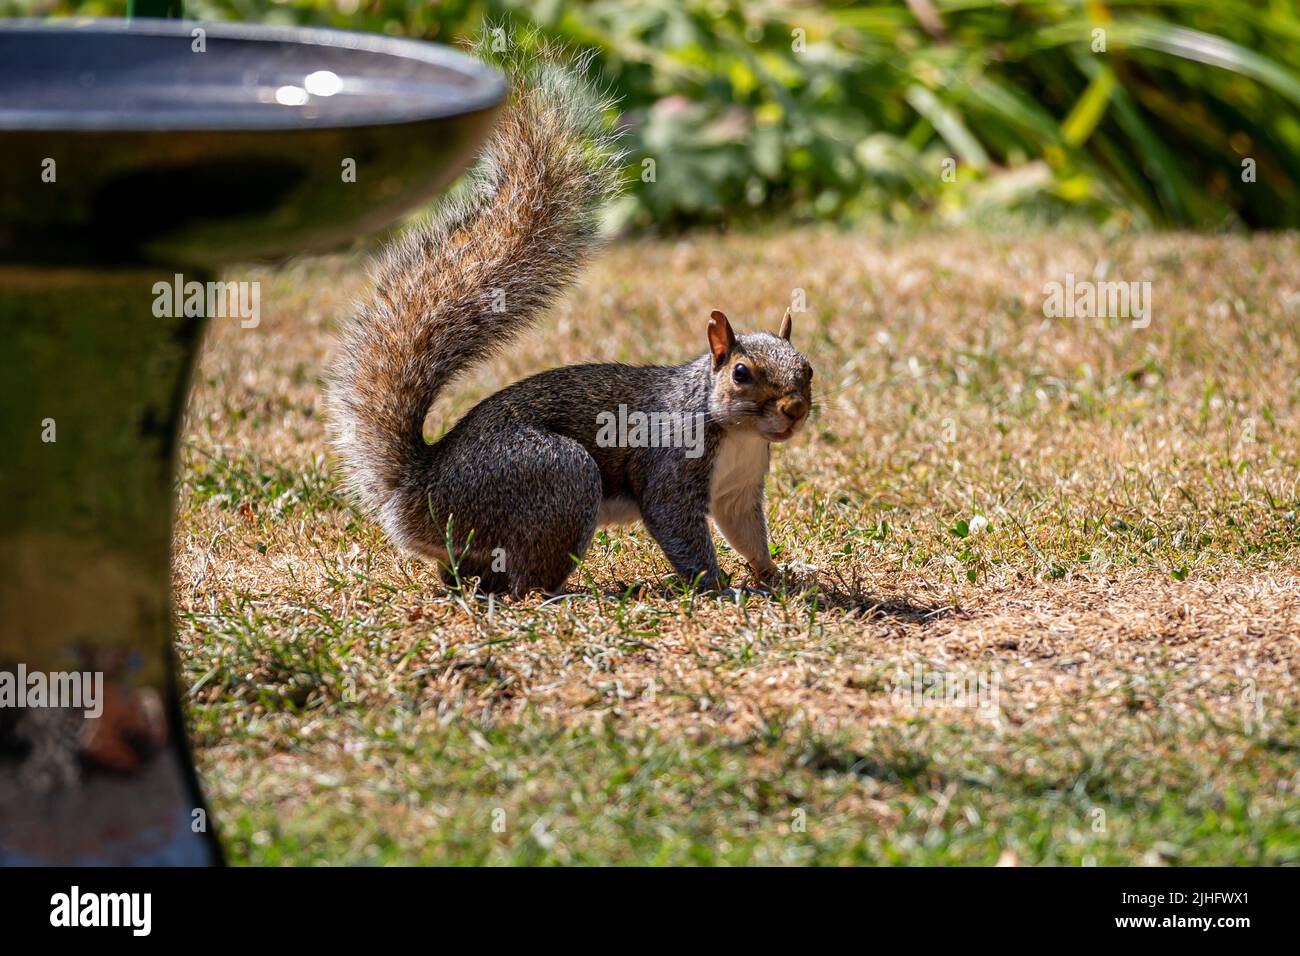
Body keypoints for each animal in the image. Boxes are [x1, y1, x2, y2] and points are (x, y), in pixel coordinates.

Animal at [327, 47, 813, 597]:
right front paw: (717, 585)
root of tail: (419, 494)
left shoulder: (739, 488)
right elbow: (676, 526)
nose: (795, 409)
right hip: (558, 478)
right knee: (525, 581)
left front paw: (778, 575)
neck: (738, 434)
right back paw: (561, 595)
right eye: (741, 373)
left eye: (808, 369)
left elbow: (745, 531)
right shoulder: (671, 465)